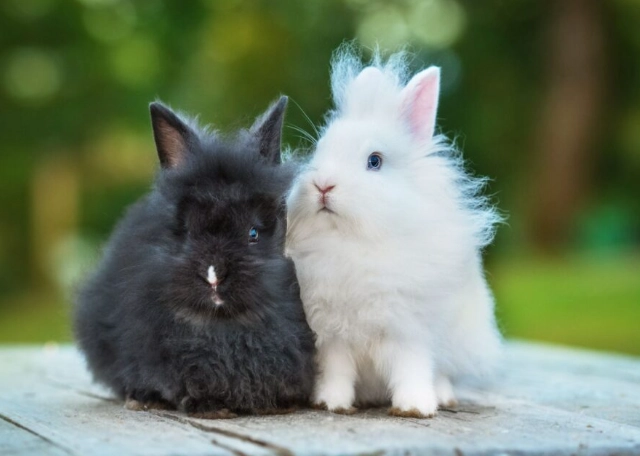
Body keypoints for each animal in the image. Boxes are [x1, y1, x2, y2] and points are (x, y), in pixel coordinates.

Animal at [74, 96, 316, 418]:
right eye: (188, 230)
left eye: (253, 233)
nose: (213, 276)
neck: (224, 325)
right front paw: (209, 407)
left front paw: (277, 405)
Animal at [286, 46, 502, 418]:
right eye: (319, 151)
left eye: (375, 161)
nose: (323, 185)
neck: (351, 244)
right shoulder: (332, 336)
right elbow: (337, 372)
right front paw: (331, 404)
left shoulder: (410, 332)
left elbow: (412, 369)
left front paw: (415, 408)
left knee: (442, 372)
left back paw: (444, 397)